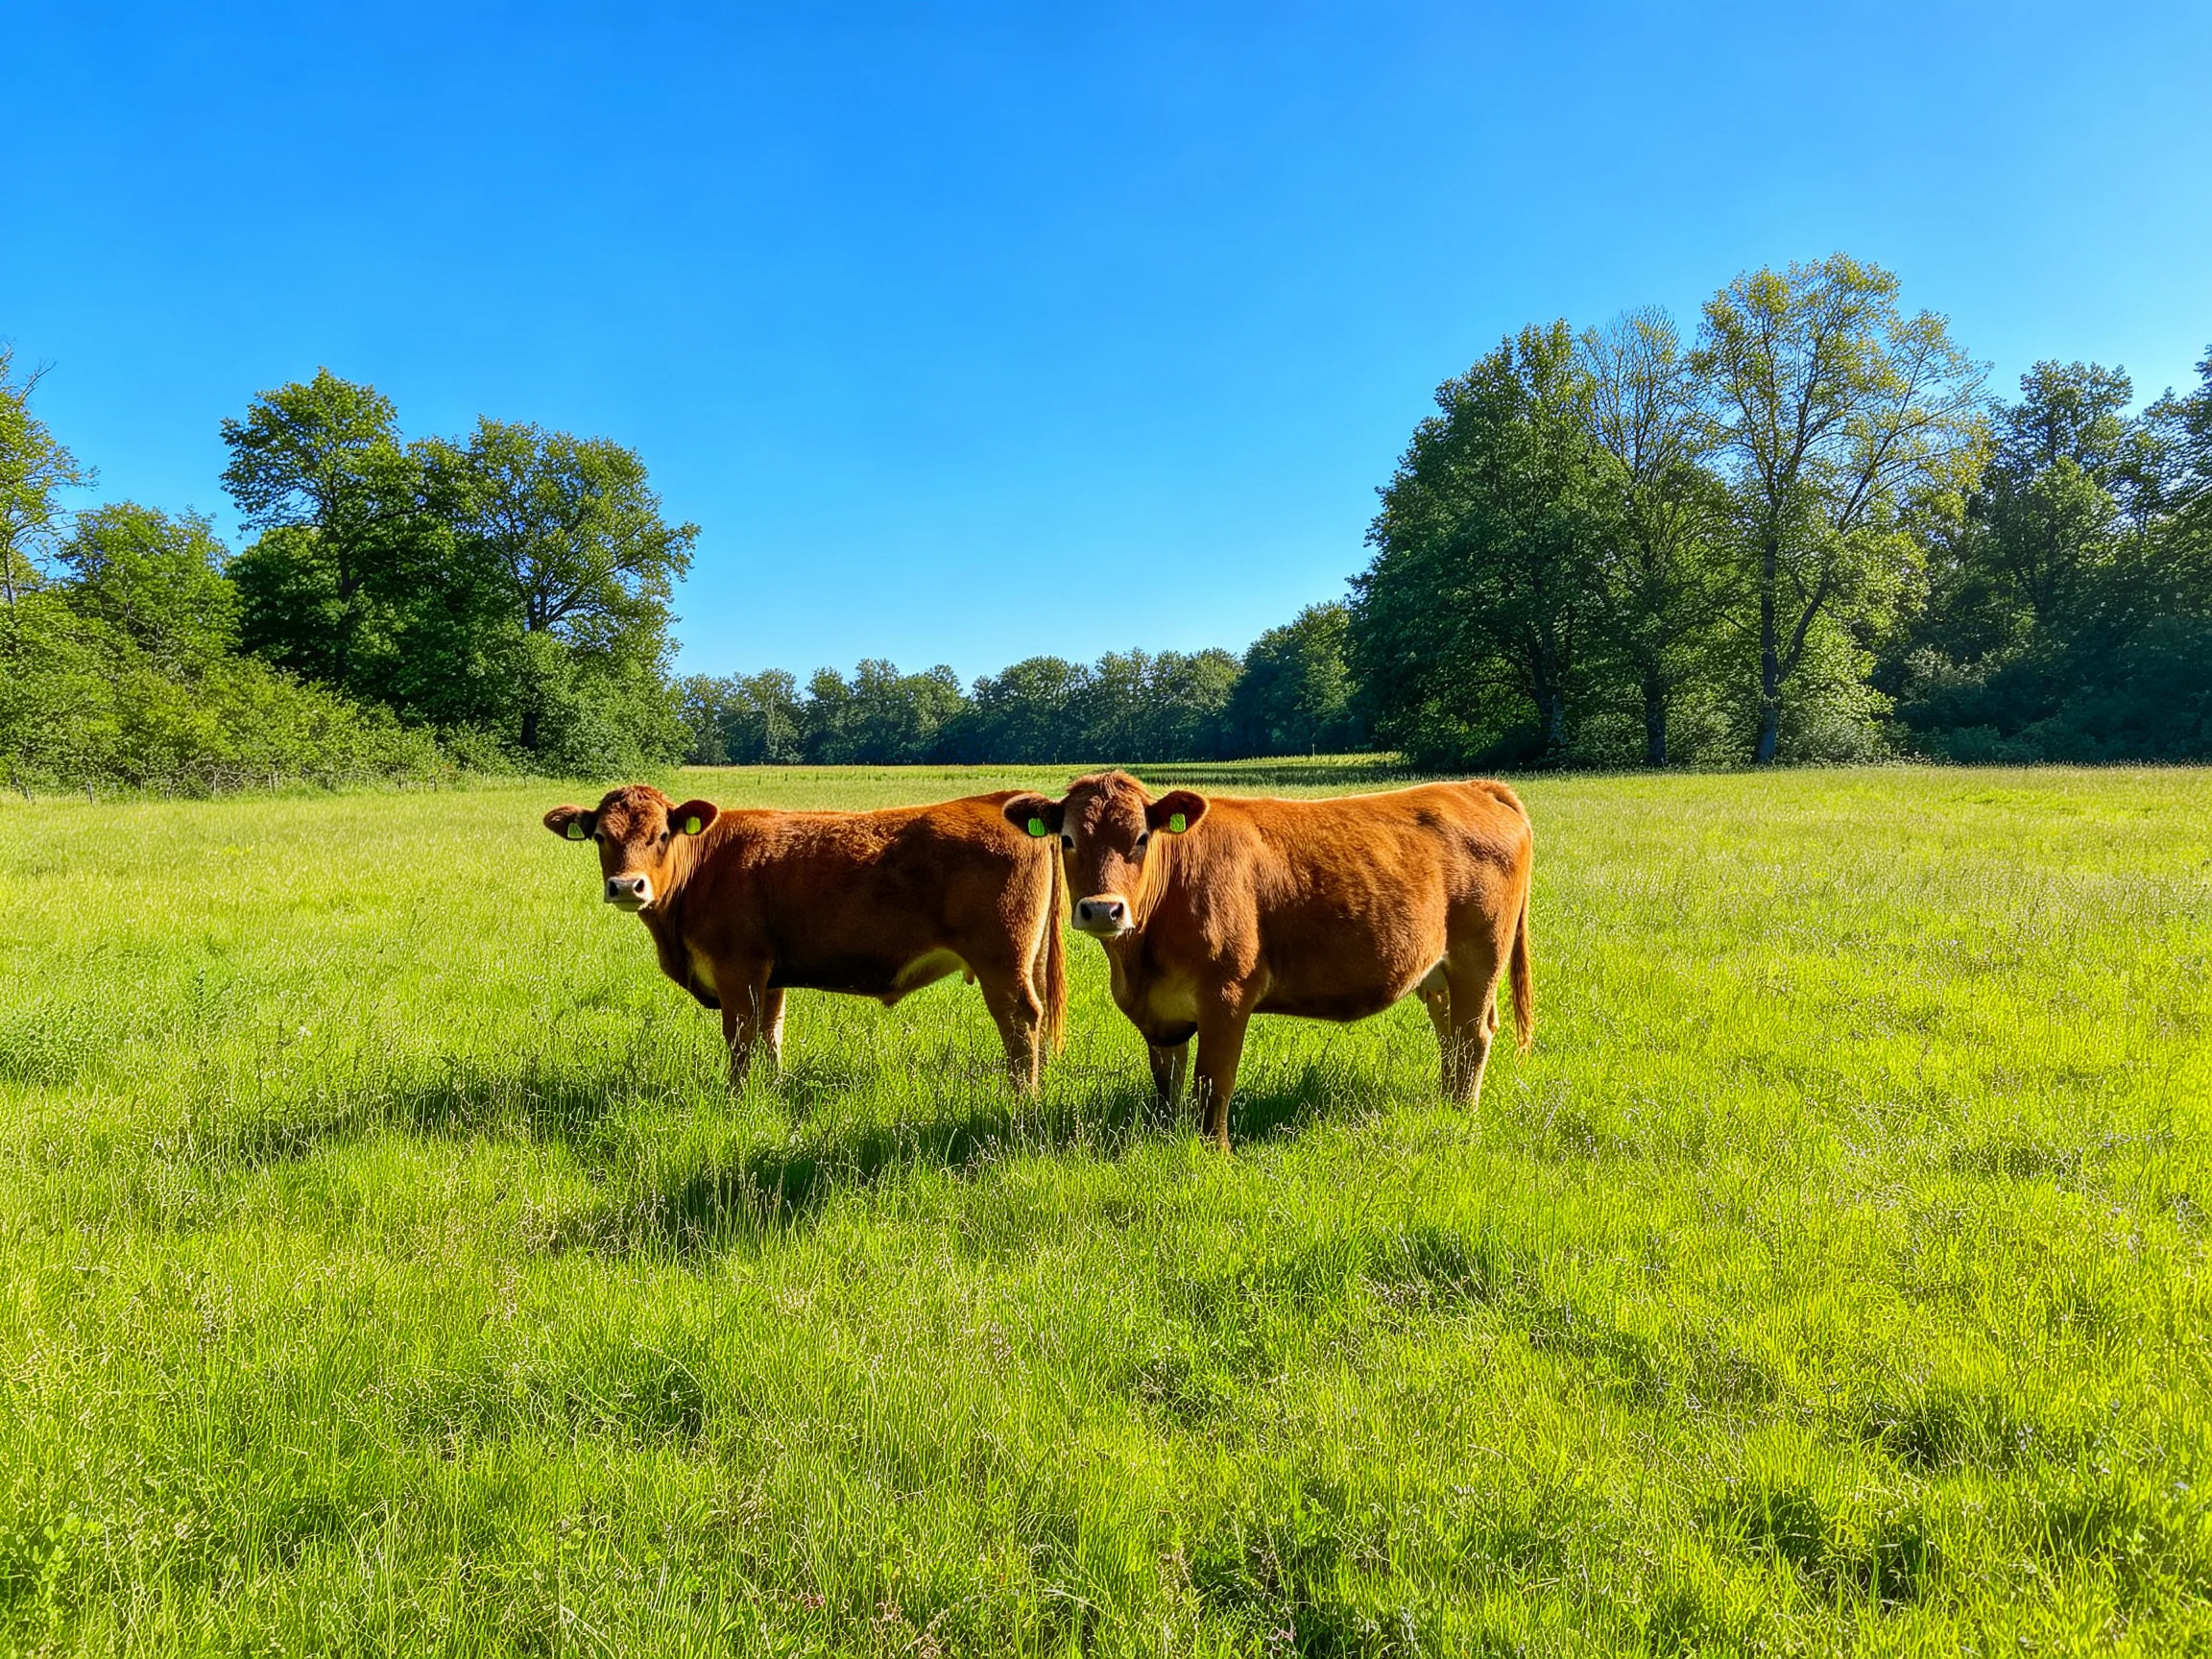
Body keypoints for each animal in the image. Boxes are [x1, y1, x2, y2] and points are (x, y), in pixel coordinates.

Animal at [542, 785, 1066, 1090]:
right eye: (600, 837)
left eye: (661, 835)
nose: (626, 886)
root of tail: (1000, 799)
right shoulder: (769, 976)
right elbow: (771, 1034)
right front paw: (770, 1092)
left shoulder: (738, 970)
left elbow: (741, 1038)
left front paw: (736, 1097)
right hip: (1030, 958)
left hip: (1001, 960)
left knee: (1019, 1021)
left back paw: (1022, 1097)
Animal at [1000, 770, 1533, 1149]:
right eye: (1068, 839)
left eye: (1141, 838)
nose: (1102, 909)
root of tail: (1472, 787)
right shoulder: (1161, 1014)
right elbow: (1167, 1085)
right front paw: (1167, 1137)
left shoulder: (1226, 995)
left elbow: (1213, 1083)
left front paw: (1213, 1153)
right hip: (1438, 973)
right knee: (1452, 1038)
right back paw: (1446, 1105)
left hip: (1480, 957)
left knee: (1472, 1036)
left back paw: (1461, 1115)